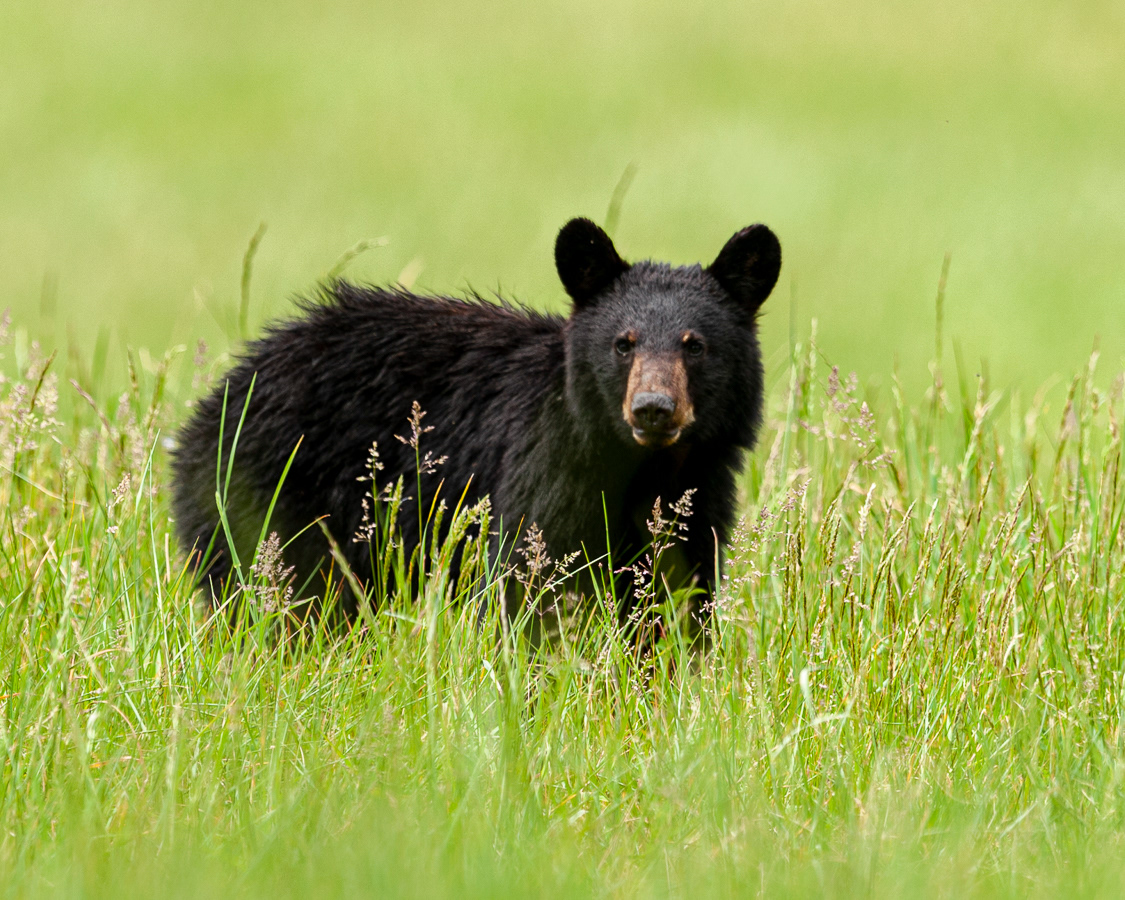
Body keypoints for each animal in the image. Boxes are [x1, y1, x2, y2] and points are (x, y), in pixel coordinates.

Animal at [171, 217, 781, 631]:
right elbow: (522, 581)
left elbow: (675, 597)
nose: (653, 407)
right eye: (623, 343)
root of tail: (209, 407)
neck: (645, 468)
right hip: (272, 499)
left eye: (695, 345)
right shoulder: (543, 470)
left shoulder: (699, 495)